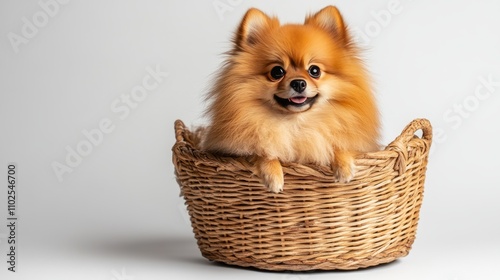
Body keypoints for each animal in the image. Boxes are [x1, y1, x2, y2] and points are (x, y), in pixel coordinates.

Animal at [202, 5, 378, 192]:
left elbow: (341, 144)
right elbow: (261, 152)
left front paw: (344, 167)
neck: (296, 124)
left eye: (314, 70)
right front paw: (273, 175)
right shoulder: (233, 150)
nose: (299, 83)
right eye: (277, 72)